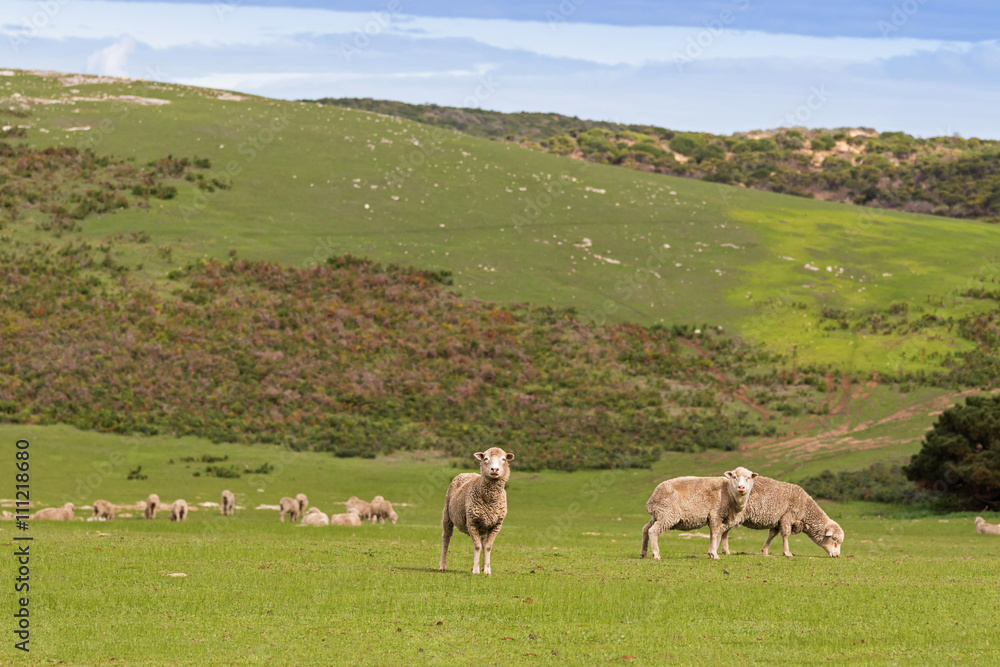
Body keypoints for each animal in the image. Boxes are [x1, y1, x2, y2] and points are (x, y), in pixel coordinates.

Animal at [439, 447, 515, 575]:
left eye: (503, 459)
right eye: (486, 458)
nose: (494, 469)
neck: (490, 500)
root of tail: (467, 473)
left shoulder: (496, 525)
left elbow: (488, 547)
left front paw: (487, 570)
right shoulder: (472, 522)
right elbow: (477, 546)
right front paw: (475, 569)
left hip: (485, 525)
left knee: (484, 543)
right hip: (447, 515)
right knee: (446, 538)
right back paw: (442, 566)